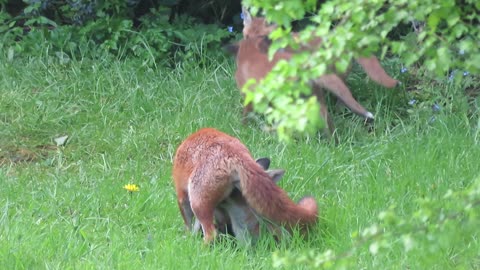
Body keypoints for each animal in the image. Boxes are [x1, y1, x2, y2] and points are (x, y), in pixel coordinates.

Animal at [172, 127, 318, 244]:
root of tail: (234, 153)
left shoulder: (182, 195)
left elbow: (189, 224)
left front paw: (188, 238)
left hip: (198, 202)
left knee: (211, 234)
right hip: (246, 213)